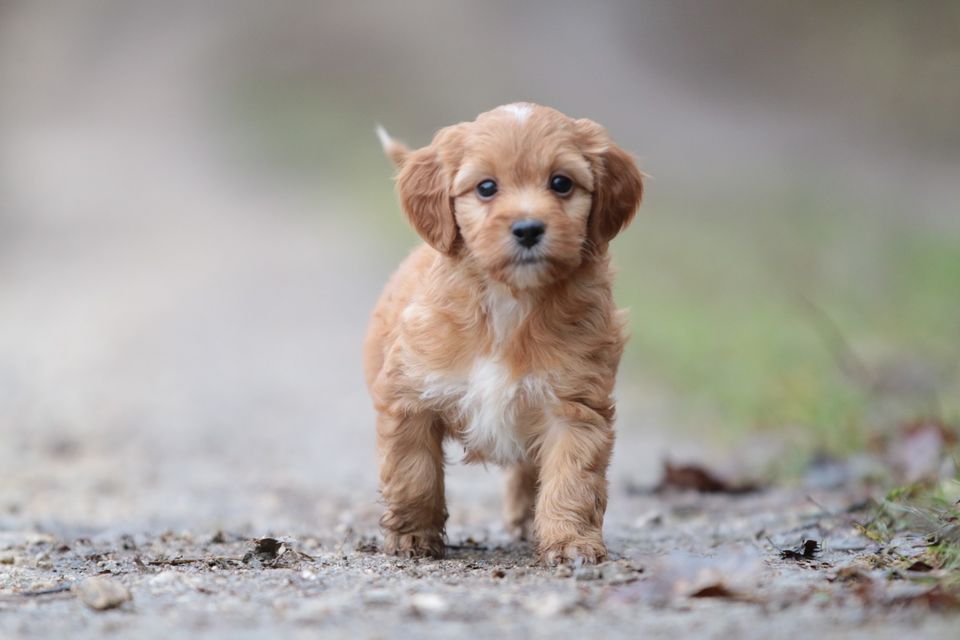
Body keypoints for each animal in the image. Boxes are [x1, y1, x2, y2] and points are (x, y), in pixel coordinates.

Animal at [364, 102, 640, 568]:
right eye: (486, 187)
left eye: (561, 183)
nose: (528, 228)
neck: (510, 302)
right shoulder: (410, 396)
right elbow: (414, 472)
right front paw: (412, 537)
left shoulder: (574, 405)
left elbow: (571, 478)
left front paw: (570, 542)